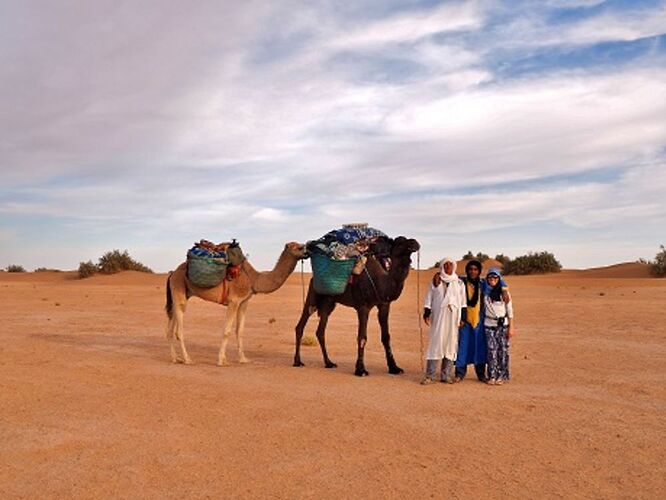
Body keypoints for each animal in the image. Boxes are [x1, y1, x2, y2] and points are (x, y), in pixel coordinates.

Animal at [165, 243, 304, 366]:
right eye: (298, 247)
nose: (307, 250)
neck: (254, 279)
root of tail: (172, 273)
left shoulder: (244, 302)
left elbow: (240, 331)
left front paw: (243, 359)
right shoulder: (234, 301)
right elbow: (227, 331)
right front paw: (221, 361)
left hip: (182, 293)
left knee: (171, 326)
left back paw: (175, 358)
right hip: (178, 287)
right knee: (179, 328)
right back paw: (187, 359)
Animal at [292, 236, 418, 376]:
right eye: (399, 242)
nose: (414, 243)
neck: (380, 282)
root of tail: (313, 278)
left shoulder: (384, 305)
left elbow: (386, 337)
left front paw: (394, 368)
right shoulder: (363, 307)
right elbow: (362, 337)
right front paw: (360, 370)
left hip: (328, 303)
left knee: (320, 331)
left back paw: (329, 363)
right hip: (313, 297)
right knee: (301, 325)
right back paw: (297, 361)